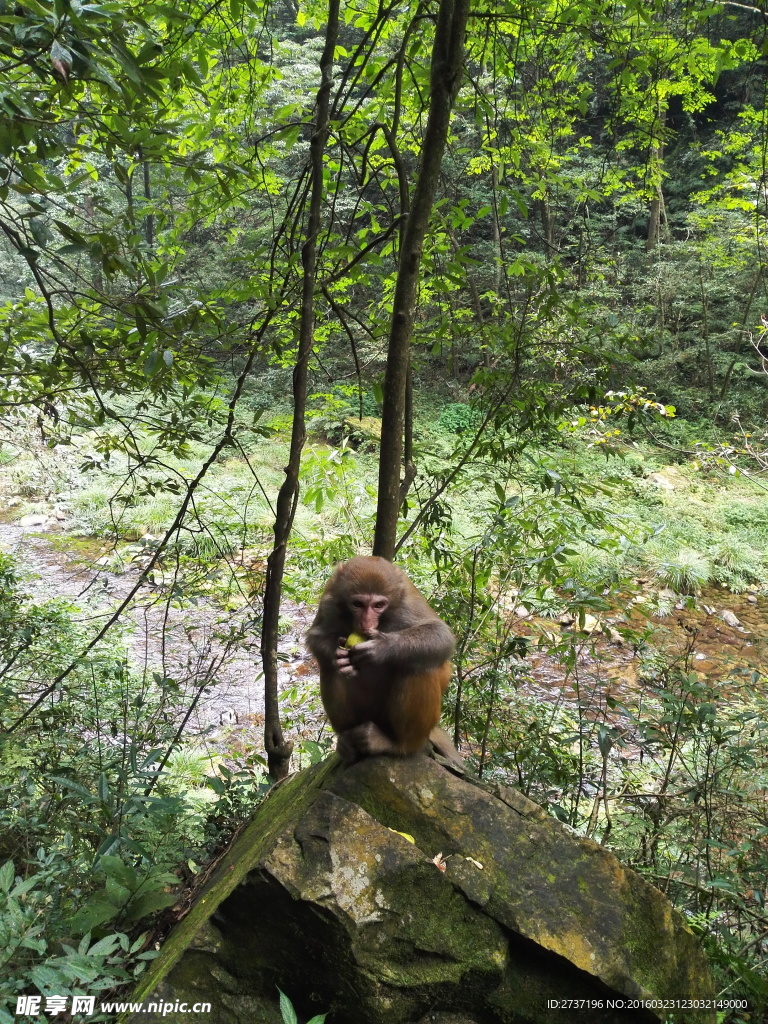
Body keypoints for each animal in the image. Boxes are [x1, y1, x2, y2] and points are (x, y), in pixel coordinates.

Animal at [307, 557, 462, 765]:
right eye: (357, 604)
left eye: (378, 605)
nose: (366, 623)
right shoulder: (330, 598)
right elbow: (316, 635)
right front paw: (336, 654)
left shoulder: (407, 602)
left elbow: (440, 634)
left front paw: (382, 647)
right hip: (365, 714)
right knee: (329, 668)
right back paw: (347, 741)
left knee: (418, 664)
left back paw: (399, 745)